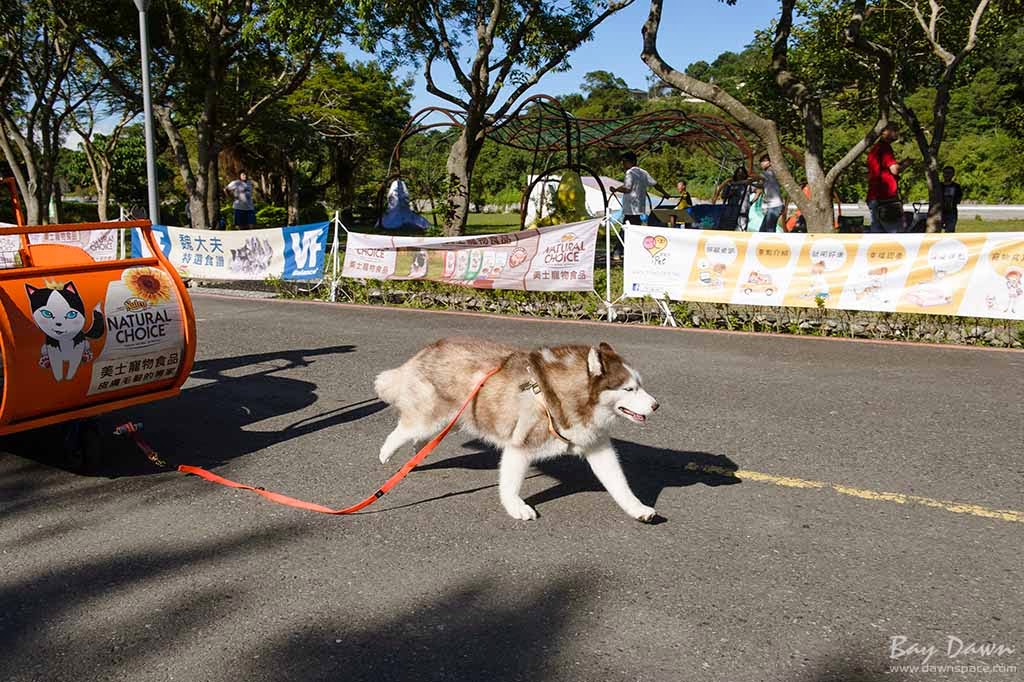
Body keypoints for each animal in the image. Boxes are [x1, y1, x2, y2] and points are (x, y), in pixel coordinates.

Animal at [378, 335, 663, 520]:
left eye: (639, 385)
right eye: (629, 389)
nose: (656, 405)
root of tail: (430, 348)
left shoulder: (597, 446)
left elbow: (619, 483)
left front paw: (637, 508)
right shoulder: (520, 446)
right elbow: (510, 484)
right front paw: (515, 507)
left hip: (451, 420)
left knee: (418, 437)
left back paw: (415, 457)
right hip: (431, 418)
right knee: (404, 430)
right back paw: (387, 453)